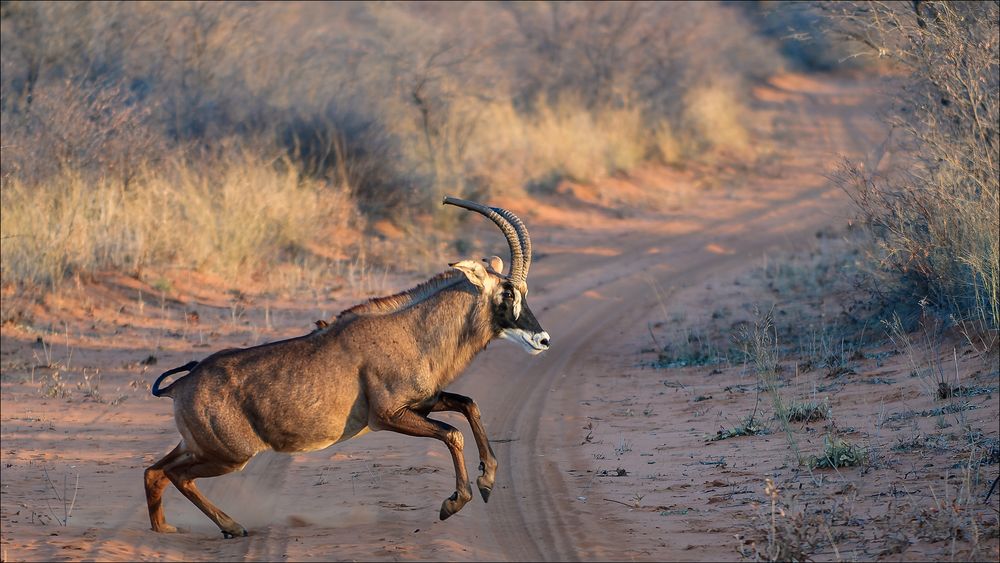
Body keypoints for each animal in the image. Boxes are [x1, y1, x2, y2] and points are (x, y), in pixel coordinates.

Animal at [145, 197, 552, 536]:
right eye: (507, 293)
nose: (543, 340)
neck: (412, 331)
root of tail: (180, 387)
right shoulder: (389, 416)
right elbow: (453, 434)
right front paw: (454, 502)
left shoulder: (423, 403)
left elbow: (469, 405)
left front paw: (487, 480)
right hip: (227, 455)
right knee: (177, 476)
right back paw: (231, 526)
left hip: (198, 446)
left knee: (155, 471)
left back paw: (165, 529)